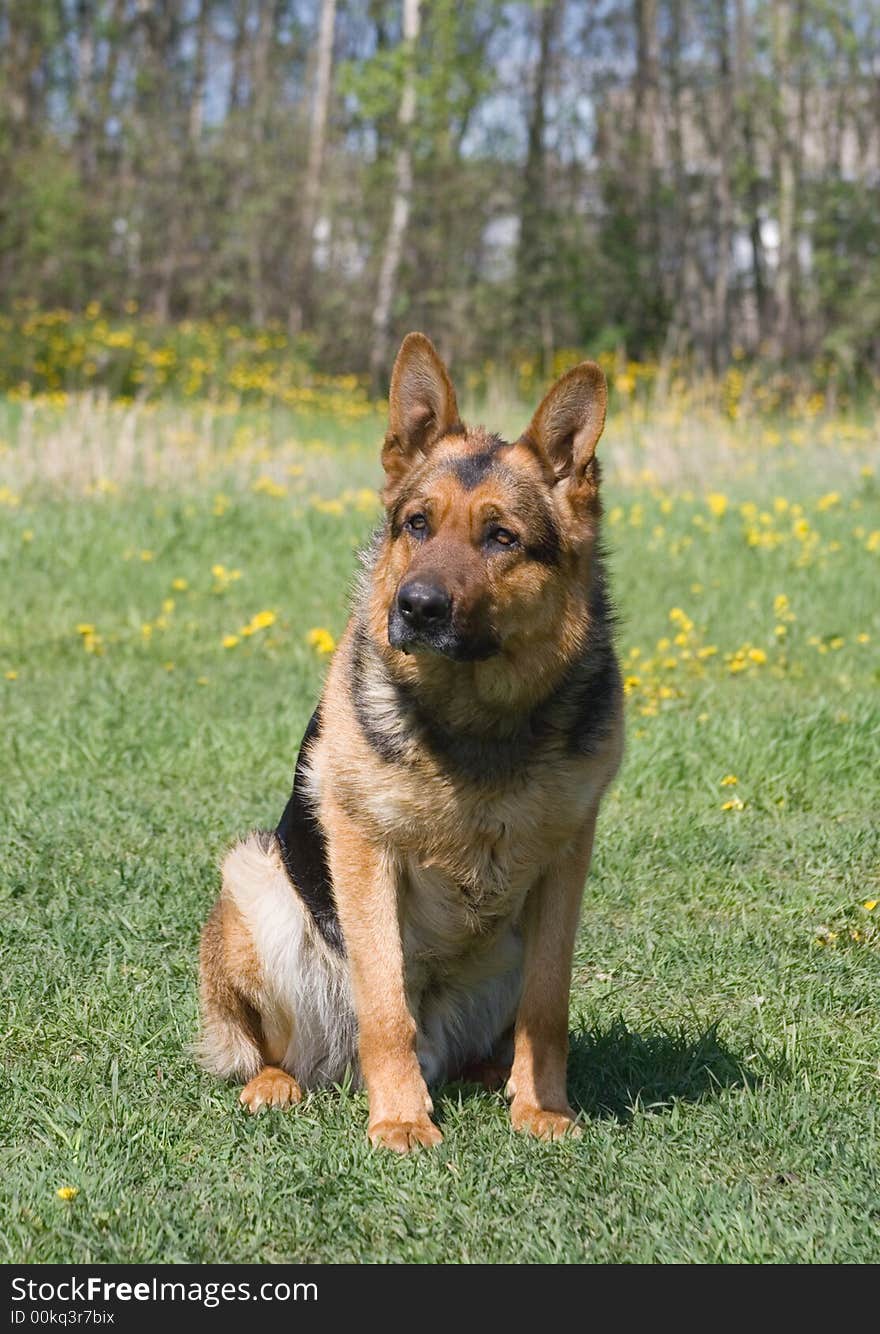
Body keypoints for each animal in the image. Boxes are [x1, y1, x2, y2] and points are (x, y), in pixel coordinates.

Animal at [200, 330, 626, 1147]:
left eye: (501, 538)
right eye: (418, 525)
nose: (417, 607)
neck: (477, 721)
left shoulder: (567, 861)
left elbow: (547, 1005)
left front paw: (542, 1107)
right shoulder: (364, 849)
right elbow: (385, 1003)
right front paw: (400, 1119)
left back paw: (493, 1075)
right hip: (255, 880)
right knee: (265, 1047)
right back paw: (276, 1083)